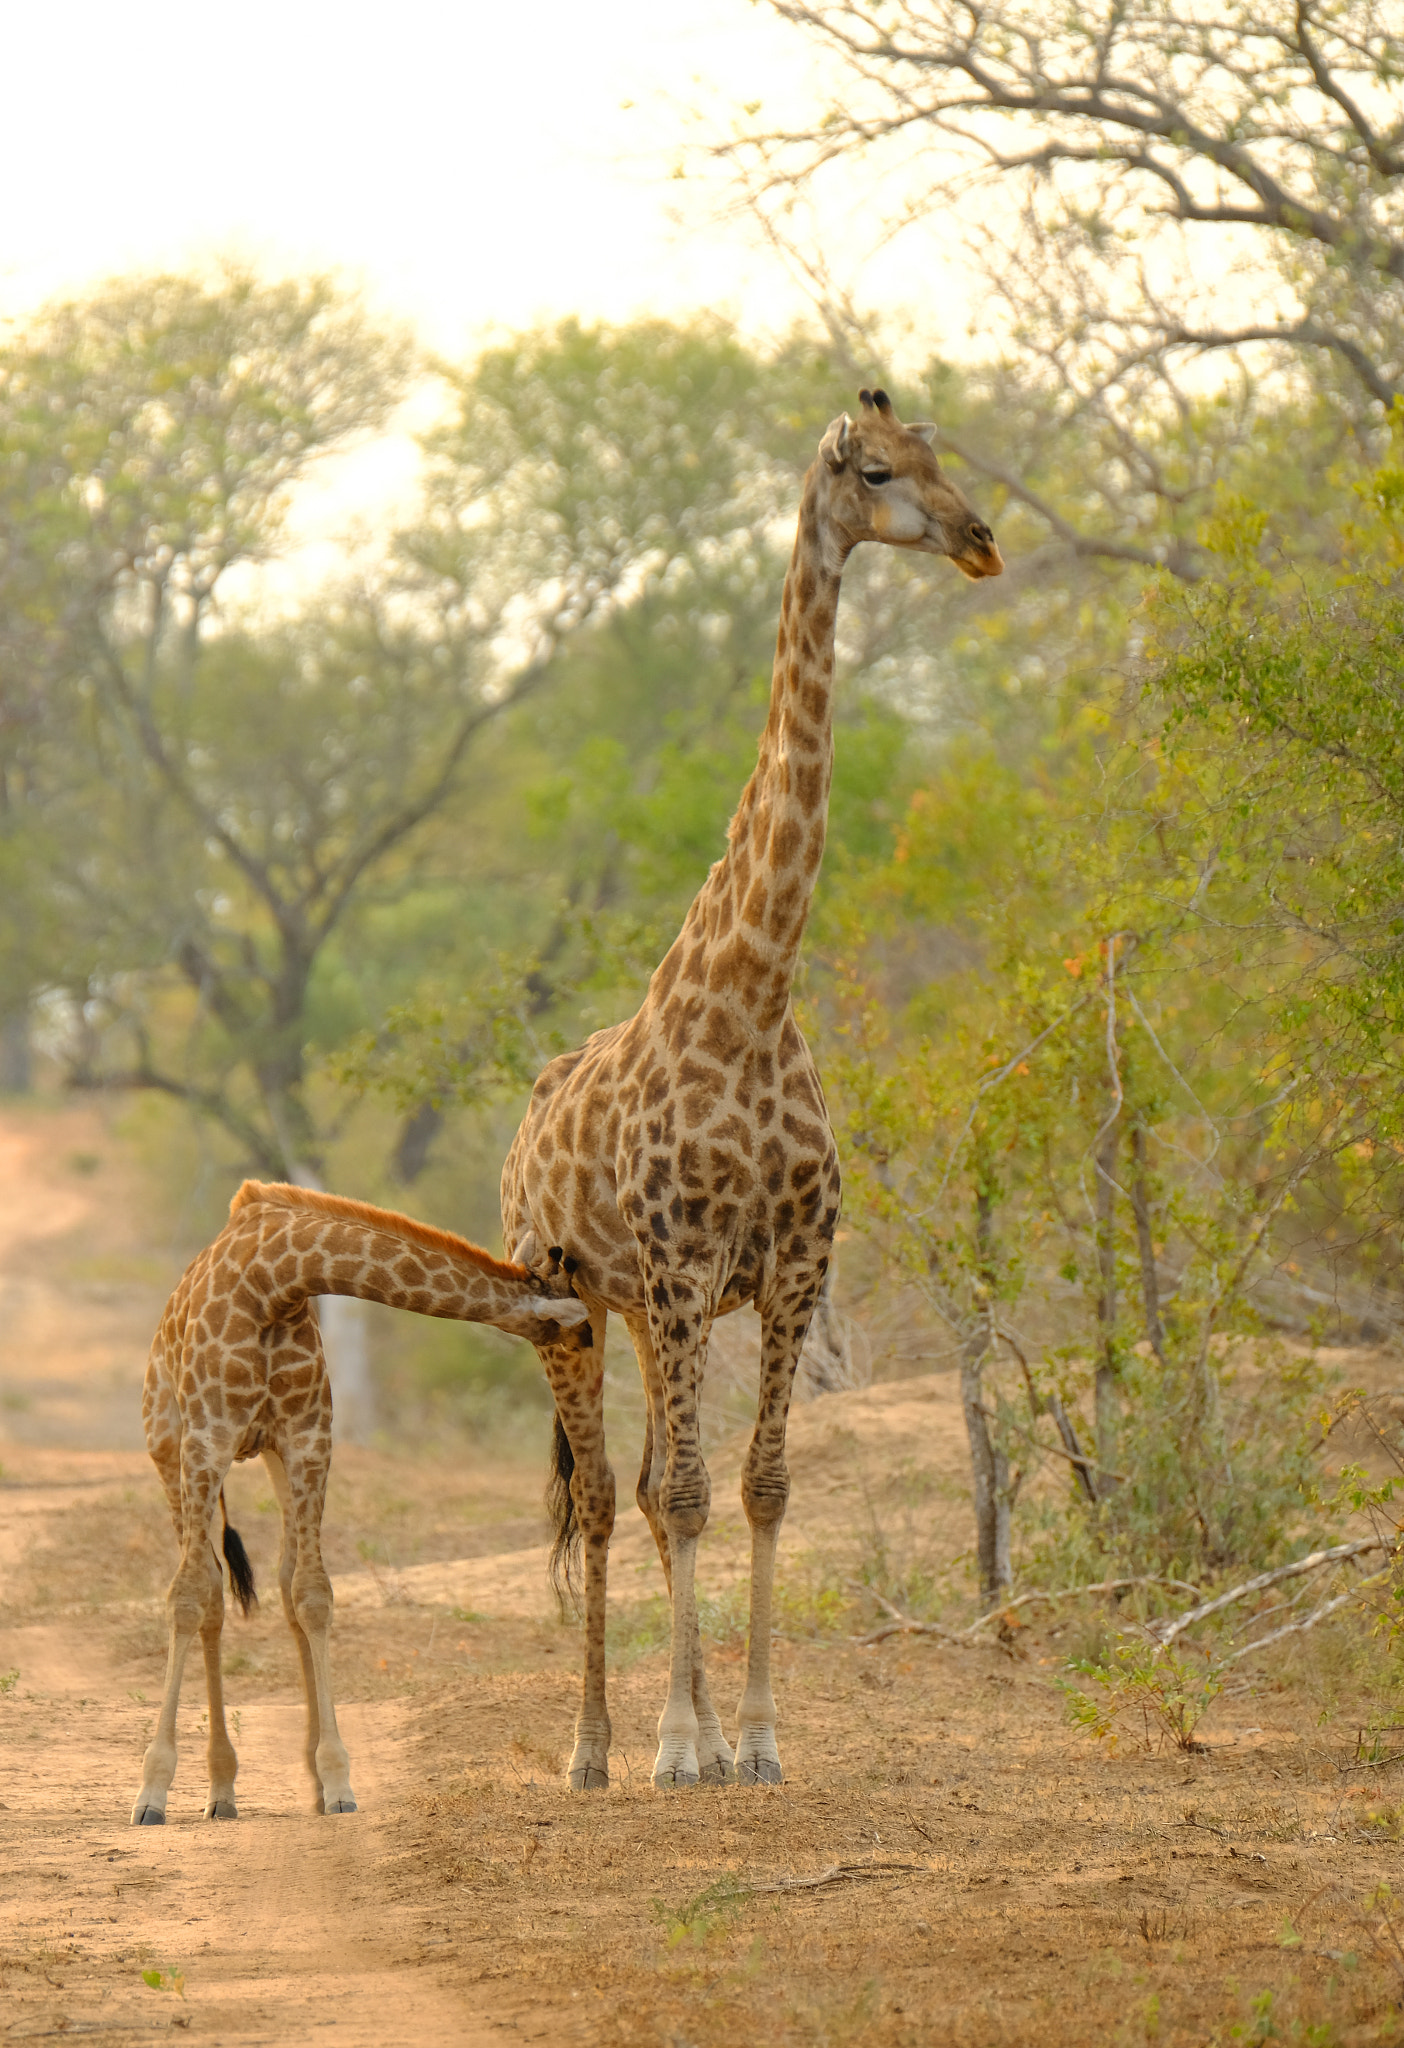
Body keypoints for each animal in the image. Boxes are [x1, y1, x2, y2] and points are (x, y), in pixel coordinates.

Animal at [130, 1178, 587, 1826]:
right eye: (575, 1318)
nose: (588, 1341)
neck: (275, 1281)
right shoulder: (206, 1441)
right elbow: (190, 1595)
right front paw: (151, 1791)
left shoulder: (307, 1439)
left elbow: (311, 1594)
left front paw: (336, 1781)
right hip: (168, 1449)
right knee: (208, 1591)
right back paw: (218, 1788)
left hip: (266, 1458)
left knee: (278, 1577)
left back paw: (244, 1788)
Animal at [502, 388, 1004, 1790]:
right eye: (877, 470)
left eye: (945, 456)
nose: (981, 540)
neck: (753, 990)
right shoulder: (680, 1264)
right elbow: (676, 1494)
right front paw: (676, 1750)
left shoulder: (785, 1266)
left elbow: (757, 1487)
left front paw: (758, 1740)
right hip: (567, 1300)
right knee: (604, 1495)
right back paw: (594, 1750)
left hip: (641, 1309)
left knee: (651, 1486)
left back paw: (695, 1731)